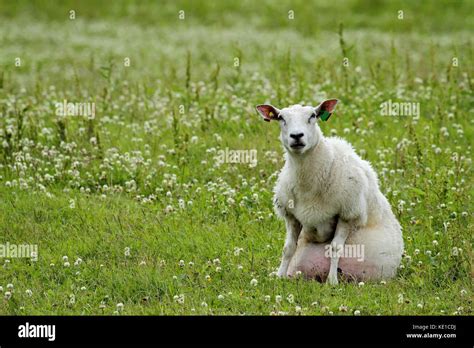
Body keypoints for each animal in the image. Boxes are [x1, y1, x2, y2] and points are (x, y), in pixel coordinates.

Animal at [256, 100, 404, 286]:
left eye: (312, 116)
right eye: (281, 118)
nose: (296, 136)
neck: (307, 184)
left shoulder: (348, 213)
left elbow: (335, 248)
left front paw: (332, 281)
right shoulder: (291, 216)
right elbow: (288, 248)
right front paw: (279, 276)